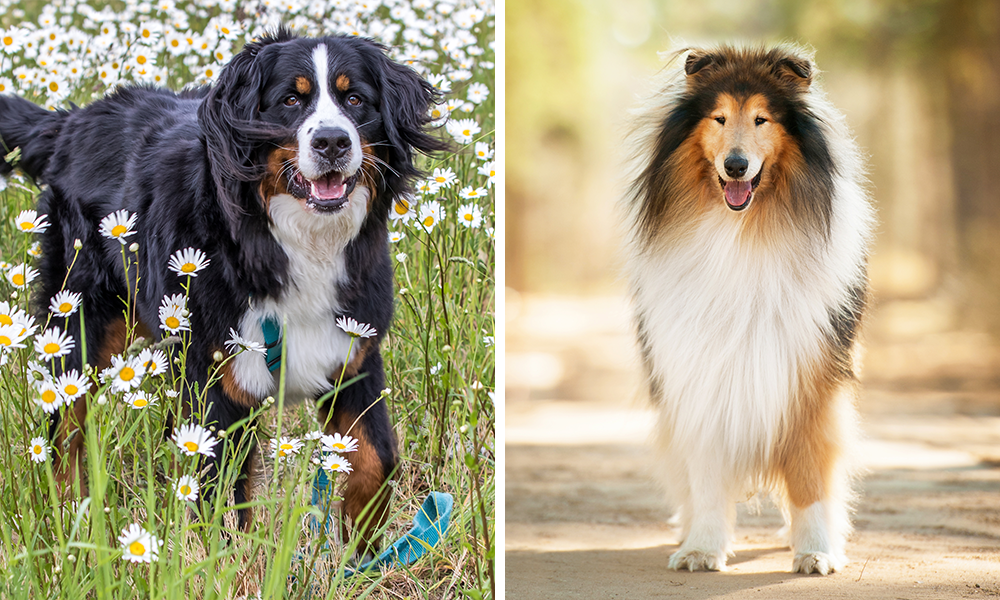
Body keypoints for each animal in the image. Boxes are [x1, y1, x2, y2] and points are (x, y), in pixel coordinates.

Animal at [0, 29, 448, 552]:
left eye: (354, 98)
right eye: (291, 100)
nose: (332, 141)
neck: (295, 243)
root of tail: (73, 120)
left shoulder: (353, 357)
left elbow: (377, 460)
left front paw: (361, 554)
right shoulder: (217, 383)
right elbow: (220, 508)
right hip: (81, 323)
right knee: (65, 432)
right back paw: (71, 522)